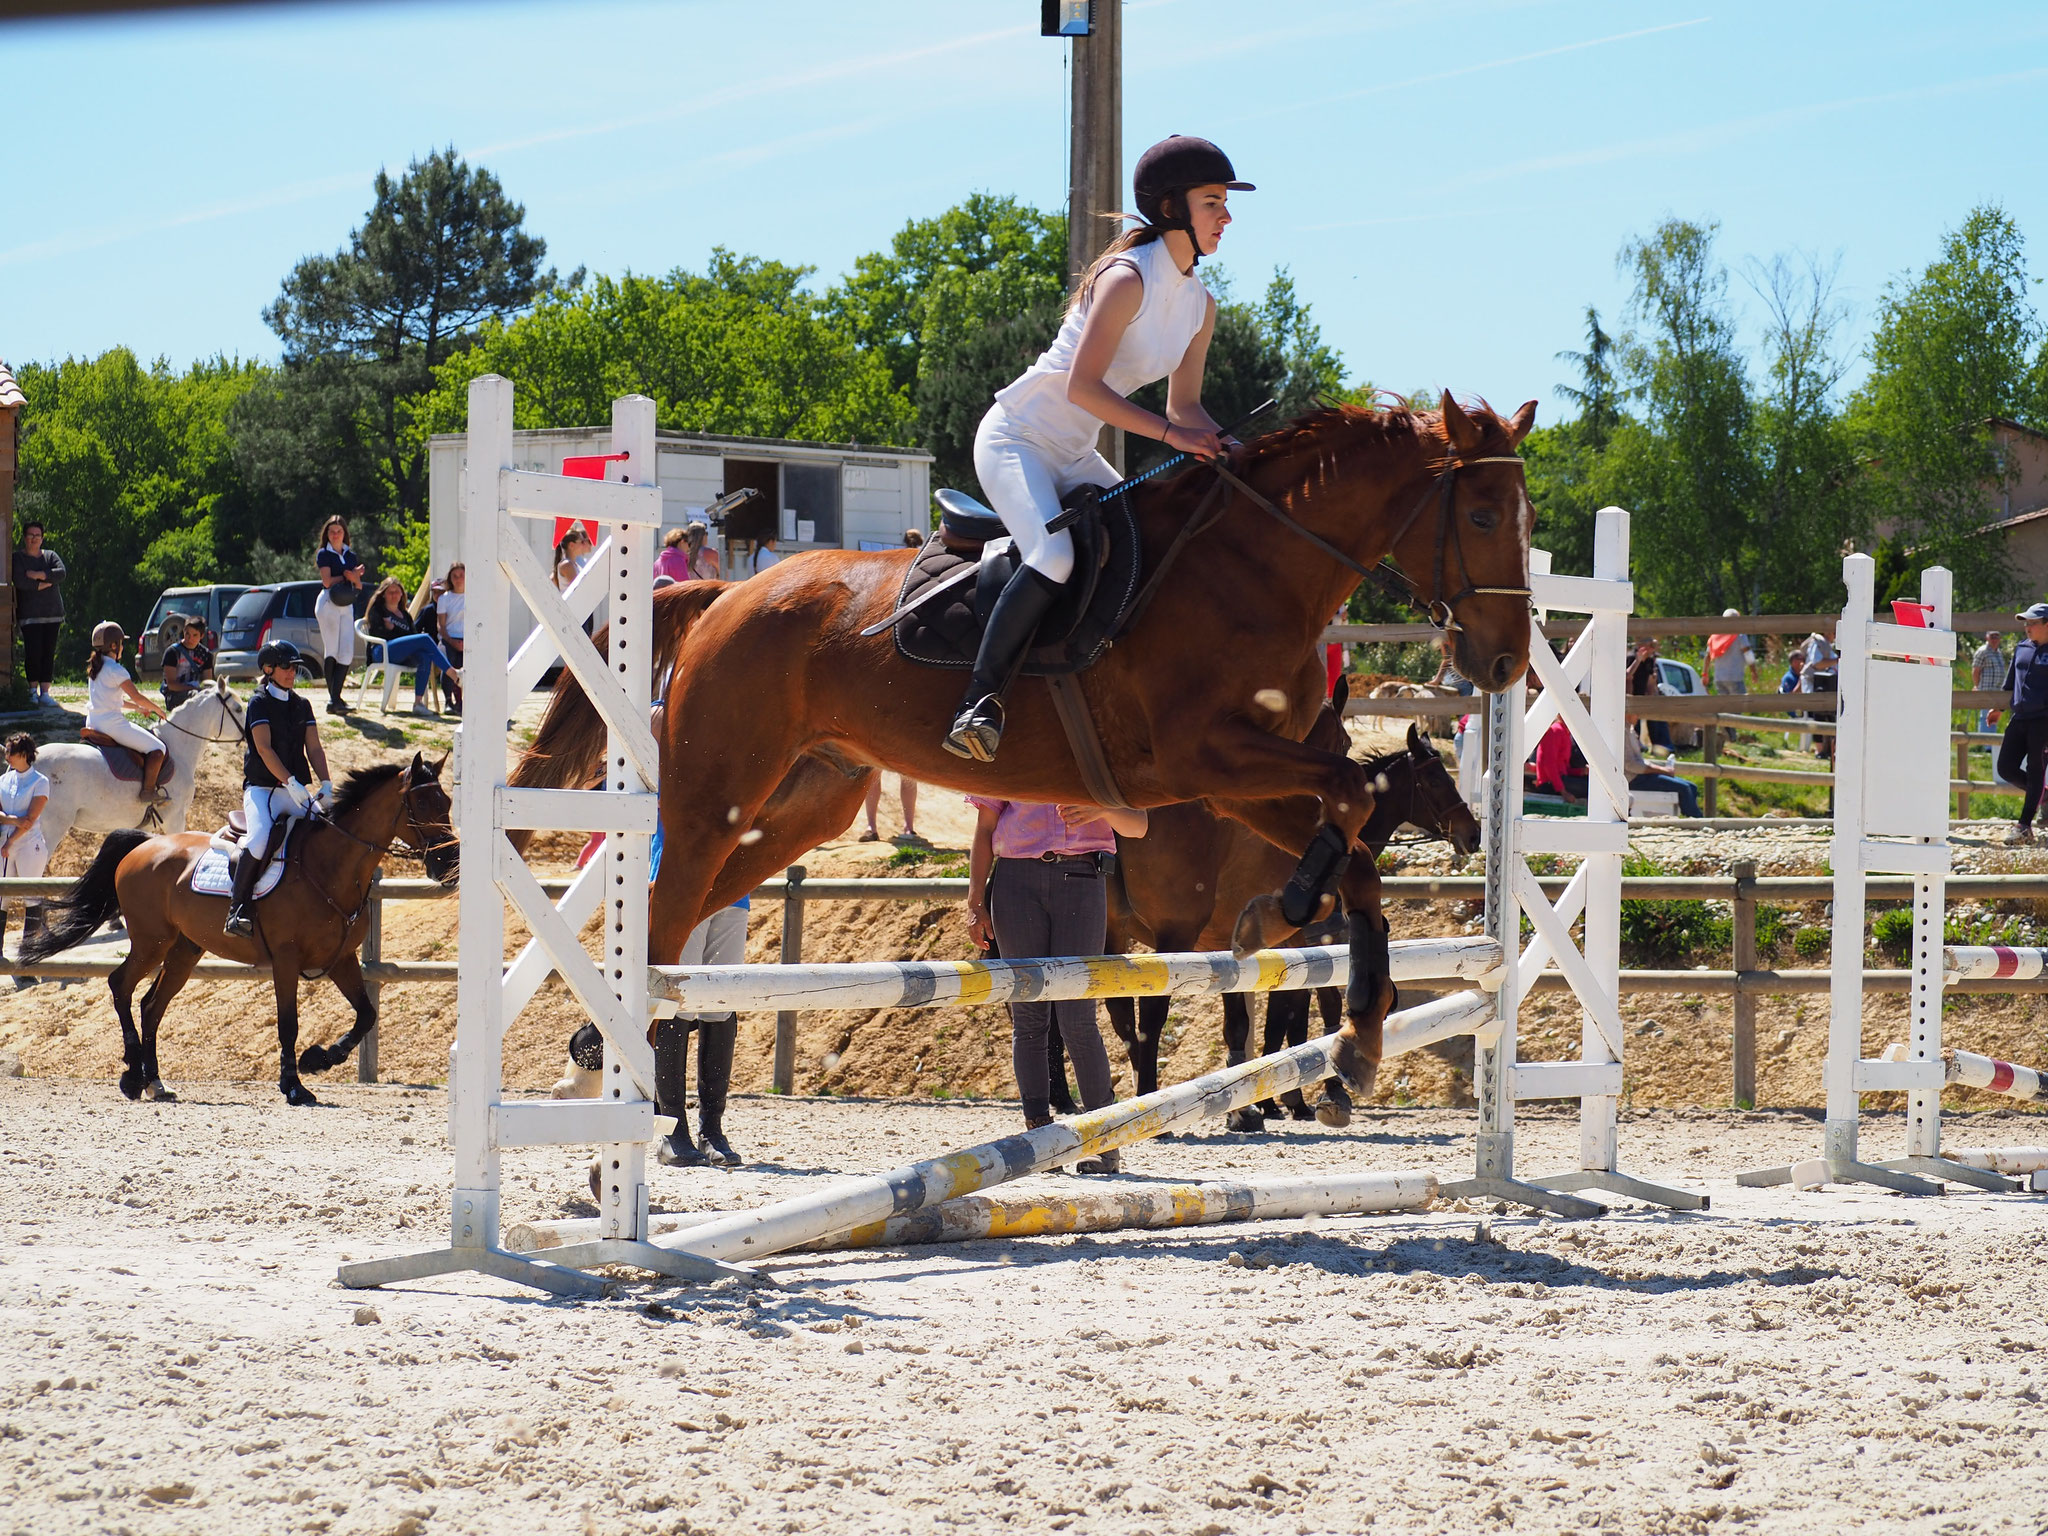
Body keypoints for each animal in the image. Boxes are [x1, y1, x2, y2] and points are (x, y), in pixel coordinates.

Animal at [24, 757, 458, 1105]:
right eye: (423, 803)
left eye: (448, 803)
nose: (450, 864)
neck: (331, 865)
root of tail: (146, 844)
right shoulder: (286, 959)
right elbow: (289, 1023)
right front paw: (294, 1086)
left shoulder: (342, 959)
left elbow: (366, 1014)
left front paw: (318, 1060)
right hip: (152, 941)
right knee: (121, 985)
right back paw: (132, 1075)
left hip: (184, 949)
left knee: (151, 1004)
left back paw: (155, 1082)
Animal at [512, 397, 1540, 1097]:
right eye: (1483, 517)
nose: (1505, 662)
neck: (1251, 566)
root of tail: (727, 594)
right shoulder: (1203, 757)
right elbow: (1355, 793)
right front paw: (1302, 910)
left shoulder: (1236, 782)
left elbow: (1355, 836)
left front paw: (1354, 1040)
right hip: (715, 792)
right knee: (663, 902)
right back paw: (604, 1064)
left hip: (808, 801)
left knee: (681, 906)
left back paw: (600, 1053)